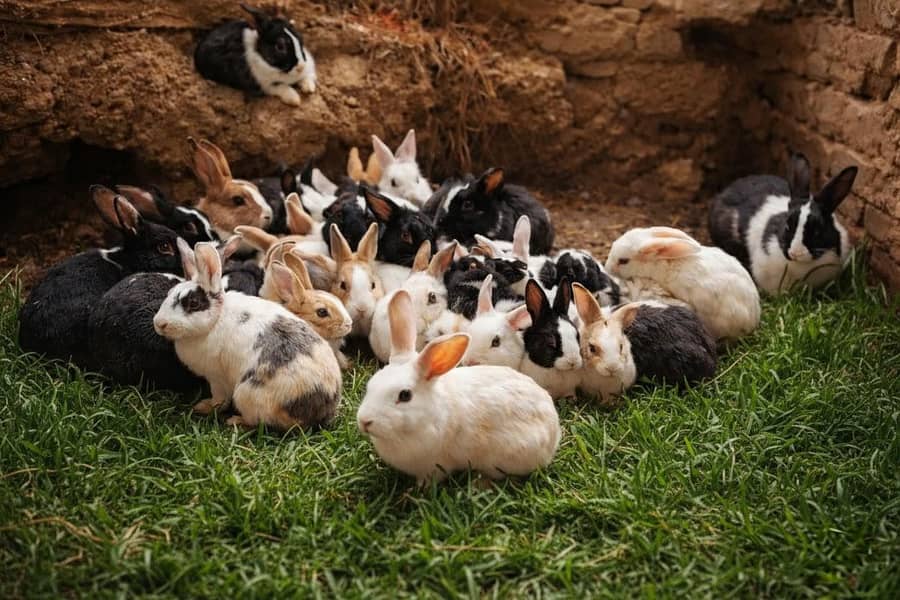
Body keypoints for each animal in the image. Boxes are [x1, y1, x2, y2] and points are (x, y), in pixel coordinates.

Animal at [153, 241, 341, 431]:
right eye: (169, 293)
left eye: (193, 303)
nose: (159, 324)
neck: (216, 320)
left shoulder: (217, 377)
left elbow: (220, 399)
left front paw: (205, 406)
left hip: (246, 394)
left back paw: (235, 421)